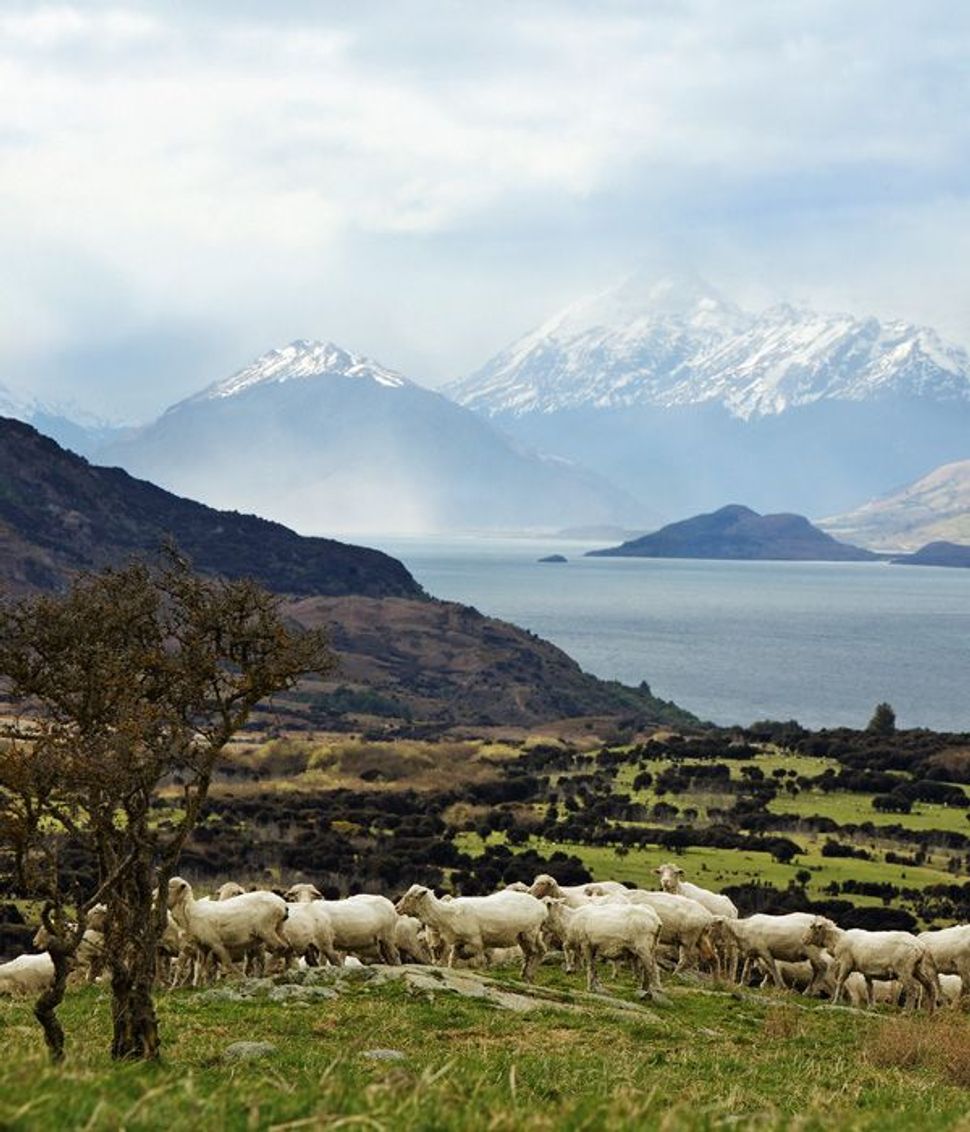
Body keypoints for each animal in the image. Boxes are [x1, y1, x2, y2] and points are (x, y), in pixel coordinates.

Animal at [393, 878, 545, 978]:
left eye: (411, 896)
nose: (397, 908)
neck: (448, 914)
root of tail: (541, 906)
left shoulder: (475, 941)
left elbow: (474, 958)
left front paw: (480, 968)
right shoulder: (458, 942)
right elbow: (453, 958)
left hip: (529, 933)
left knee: (533, 953)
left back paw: (527, 974)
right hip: (526, 935)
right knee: (539, 951)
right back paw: (527, 975)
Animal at [801, 919, 937, 1009]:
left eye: (812, 927)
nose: (803, 940)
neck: (836, 940)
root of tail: (921, 946)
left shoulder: (846, 963)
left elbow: (840, 982)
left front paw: (834, 1002)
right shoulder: (867, 971)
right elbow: (869, 988)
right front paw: (871, 1007)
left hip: (904, 969)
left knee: (913, 989)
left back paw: (907, 1012)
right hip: (918, 968)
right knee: (930, 987)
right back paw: (931, 1012)